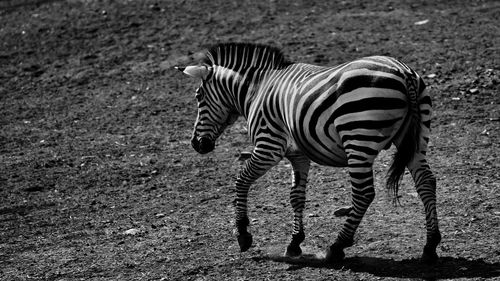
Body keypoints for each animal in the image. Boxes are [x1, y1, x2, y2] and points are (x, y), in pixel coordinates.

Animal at [177, 42, 442, 262]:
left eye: (198, 97)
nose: (196, 144)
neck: (256, 89)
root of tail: (403, 72)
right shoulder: (298, 154)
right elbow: (297, 196)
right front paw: (295, 243)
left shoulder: (268, 145)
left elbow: (241, 181)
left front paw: (243, 234)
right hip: (416, 137)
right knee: (426, 182)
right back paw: (430, 246)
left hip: (358, 136)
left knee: (364, 193)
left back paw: (337, 246)